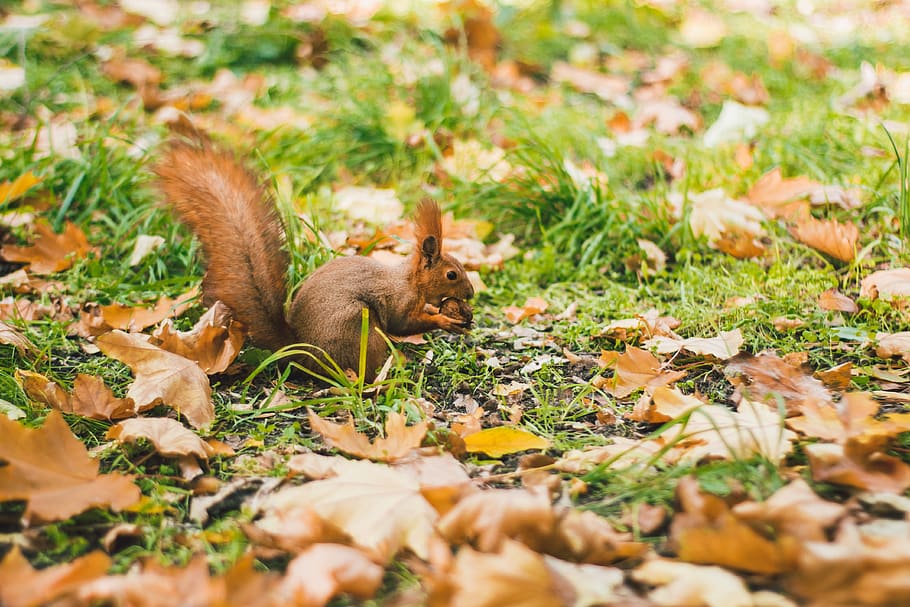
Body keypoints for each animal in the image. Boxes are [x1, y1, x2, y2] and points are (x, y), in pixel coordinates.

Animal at [154, 132, 475, 380]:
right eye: (452, 274)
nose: (471, 294)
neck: (410, 280)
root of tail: (303, 351)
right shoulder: (399, 301)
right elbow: (404, 324)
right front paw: (444, 321)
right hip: (357, 325)